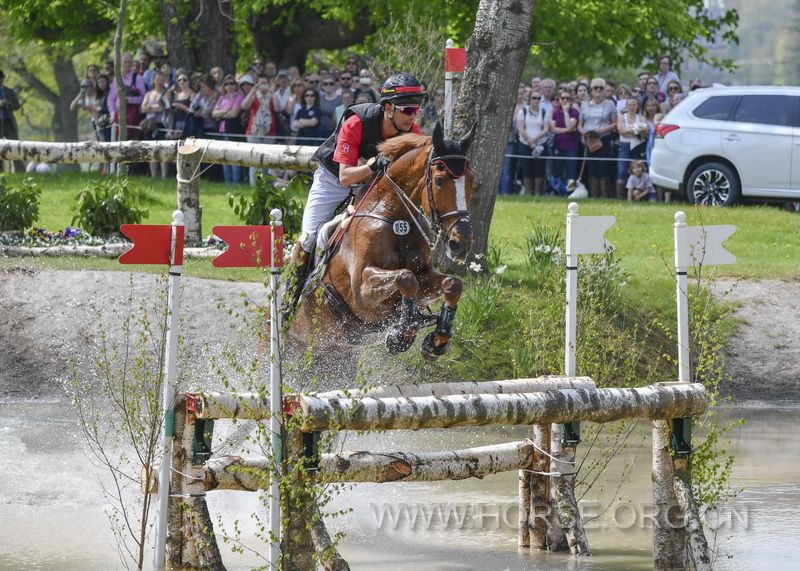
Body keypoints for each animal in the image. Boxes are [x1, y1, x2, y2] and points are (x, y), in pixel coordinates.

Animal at [288, 121, 476, 364]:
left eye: (471, 181)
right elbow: (406, 278)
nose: (462, 242)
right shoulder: (361, 290)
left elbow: (452, 284)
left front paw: (437, 340)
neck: (396, 219)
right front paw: (402, 332)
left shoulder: (424, 273)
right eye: (439, 180)